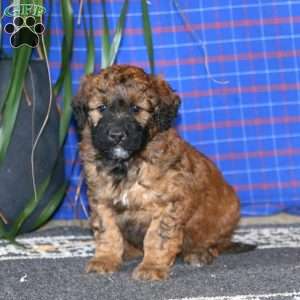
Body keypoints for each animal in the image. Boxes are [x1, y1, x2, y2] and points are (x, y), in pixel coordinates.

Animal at [73, 64, 246, 280]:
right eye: (102, 108)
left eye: (136, 109)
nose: (116, 135)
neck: (127, 164)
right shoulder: (101, 200)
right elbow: (108, 232)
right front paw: (105, 260)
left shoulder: (168, 203)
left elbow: (158, 237)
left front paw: (152, 266)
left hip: (227, 212)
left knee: (216, 242)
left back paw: (200, 253)